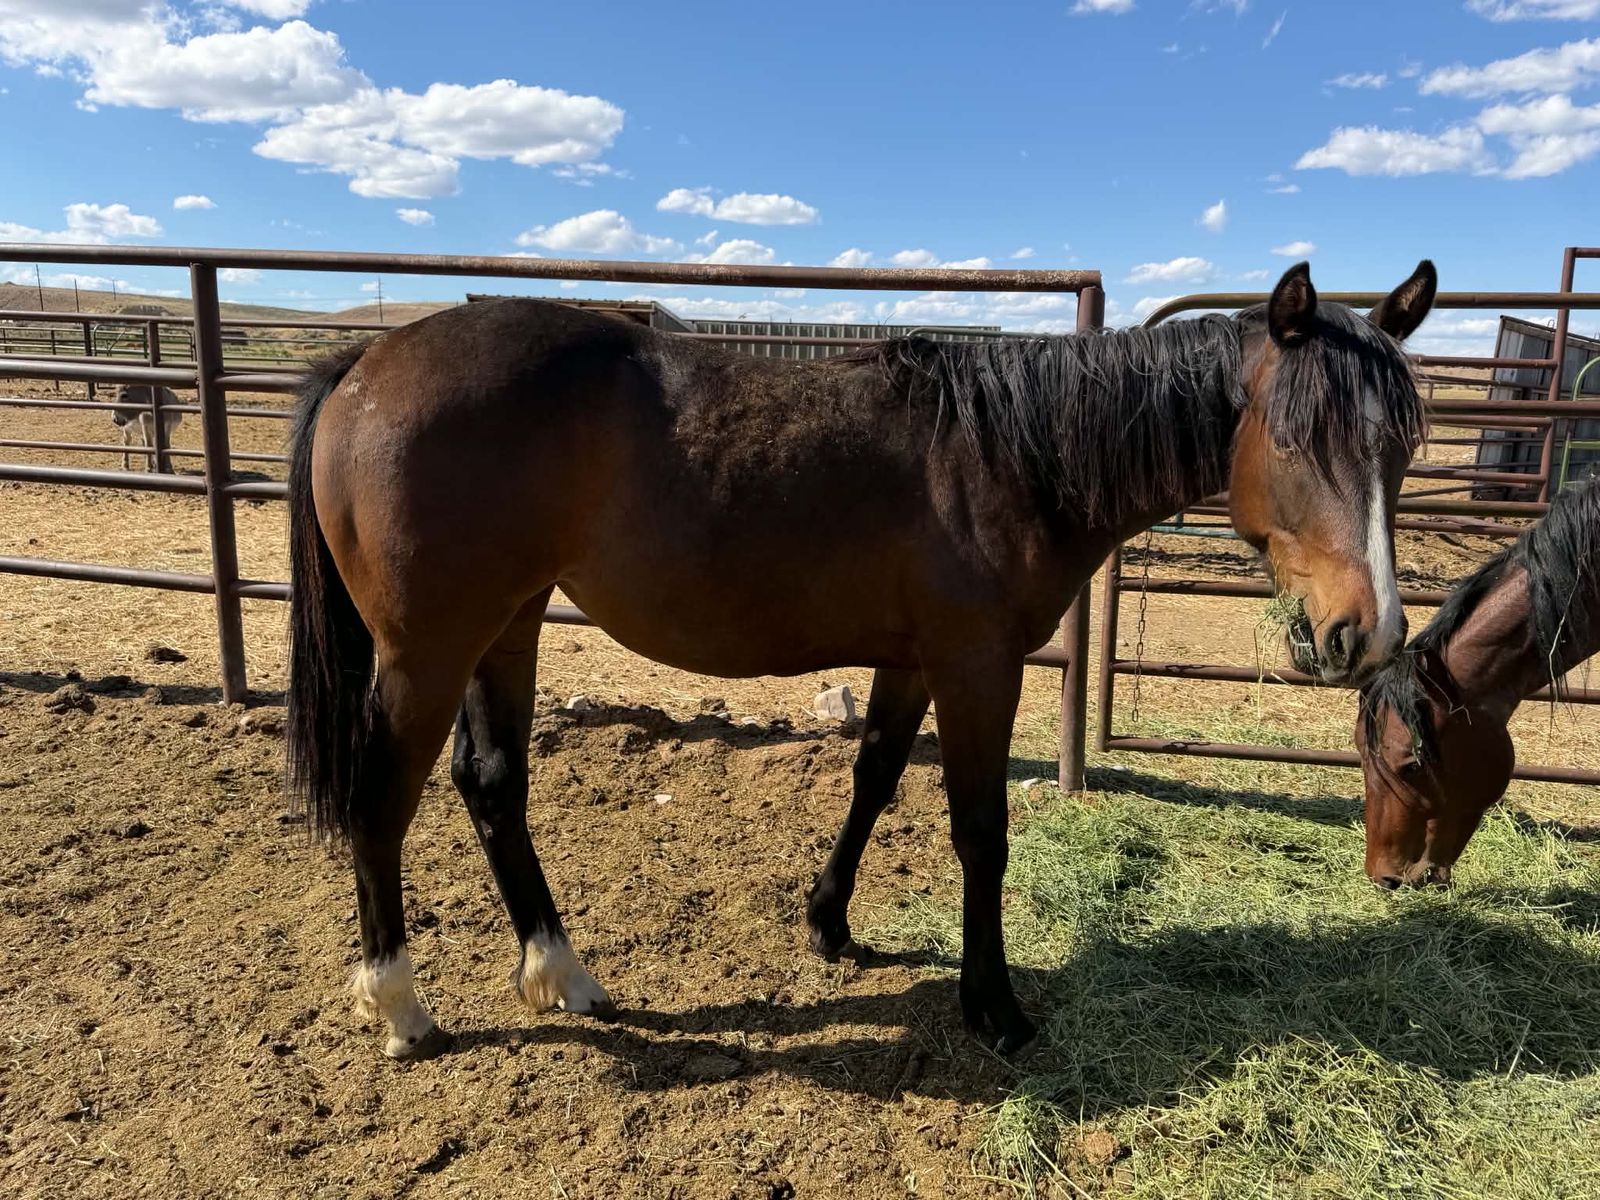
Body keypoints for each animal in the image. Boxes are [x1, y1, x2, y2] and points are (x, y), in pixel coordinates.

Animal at [286, 260, 1435, 1060]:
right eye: (1291, 440)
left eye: (1401, 448)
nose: (1367, 631)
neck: (1012, 454)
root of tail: (362, 368)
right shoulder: (979, 665)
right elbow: (980, 832)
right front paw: (993, 1006)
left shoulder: (914, 659)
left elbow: (874, 776)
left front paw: (828, 923)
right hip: (427, 649)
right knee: (382, 801)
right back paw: (400, 1004)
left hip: (511, 624)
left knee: (492, 786)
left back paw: (560, 971)